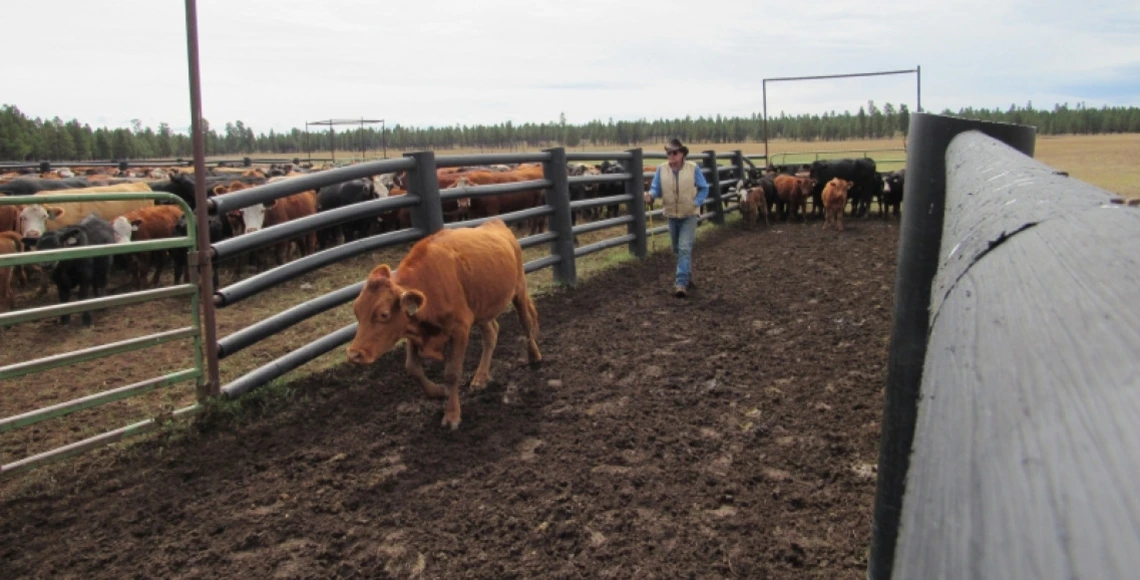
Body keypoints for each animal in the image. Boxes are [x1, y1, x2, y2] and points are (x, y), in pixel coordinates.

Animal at [344, 218, 540, 428]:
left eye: (383, 314)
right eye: (356, 310)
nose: (354, 354)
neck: (430, 285)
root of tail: (496, 223)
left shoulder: (460, 329)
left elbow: (452, 373)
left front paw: (452, 414)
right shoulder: (414, 329)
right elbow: (412, 368)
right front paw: (438, 392)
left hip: (519, 290)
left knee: (526, 323)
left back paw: (534, 356)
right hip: (481, 309)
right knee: (491, 334)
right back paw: (480, 377)